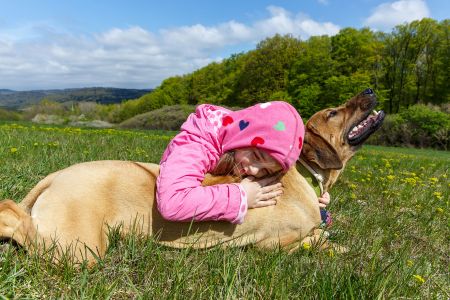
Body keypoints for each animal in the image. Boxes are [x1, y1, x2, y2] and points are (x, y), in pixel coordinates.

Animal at [0, 89, 384, 262]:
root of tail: (56, 176)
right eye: (333, 112)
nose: (369, 91)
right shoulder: (275, 245)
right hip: (80, 249)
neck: (304, 173)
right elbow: (321, 242)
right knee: (18, 220)